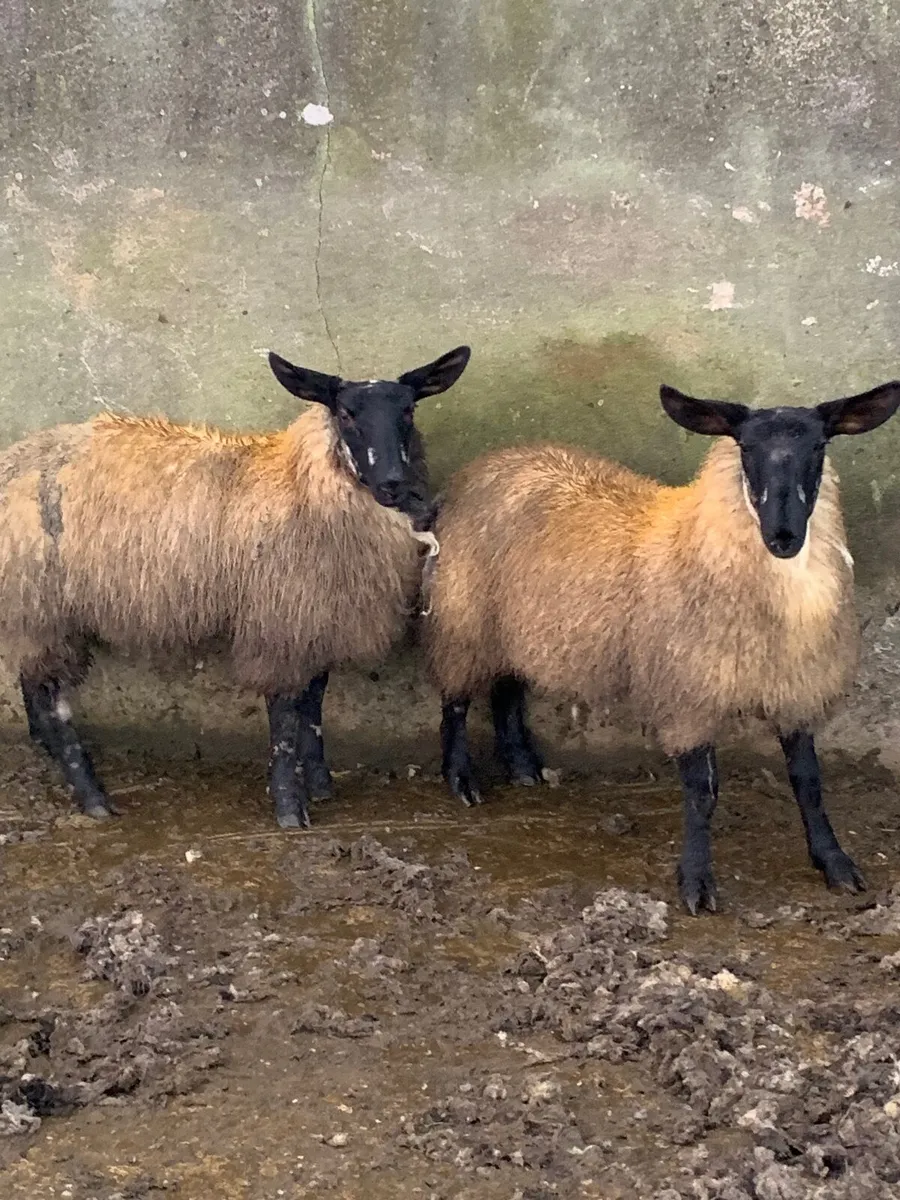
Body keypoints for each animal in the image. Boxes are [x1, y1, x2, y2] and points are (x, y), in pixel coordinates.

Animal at [0, 344, 471, 828]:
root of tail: (14, 457)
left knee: (31, 683)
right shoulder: (278, 622)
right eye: (345, 413)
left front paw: (320, 784)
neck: (299, 484)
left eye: (409, 409)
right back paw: (92, 796)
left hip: (31, 610)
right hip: (38, 603)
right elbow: (285, 717)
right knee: (53, 698)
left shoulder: (311, 614)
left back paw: (46, 749)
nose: (393, 483)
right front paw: (289, 808)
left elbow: (314, 703)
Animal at [424, 381, 900, 913]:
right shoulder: (688, 697)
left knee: (507, 688)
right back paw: (462, 780)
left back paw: (524, 766)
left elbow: (809, 783)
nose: (783, 536)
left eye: (818, 446)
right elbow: (703, 792)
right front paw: (696, 883)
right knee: (456, 700)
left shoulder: (794, 689)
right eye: (745, 448)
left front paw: (835, 864)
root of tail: (495, 458)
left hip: (518, 625)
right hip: (463, 615)